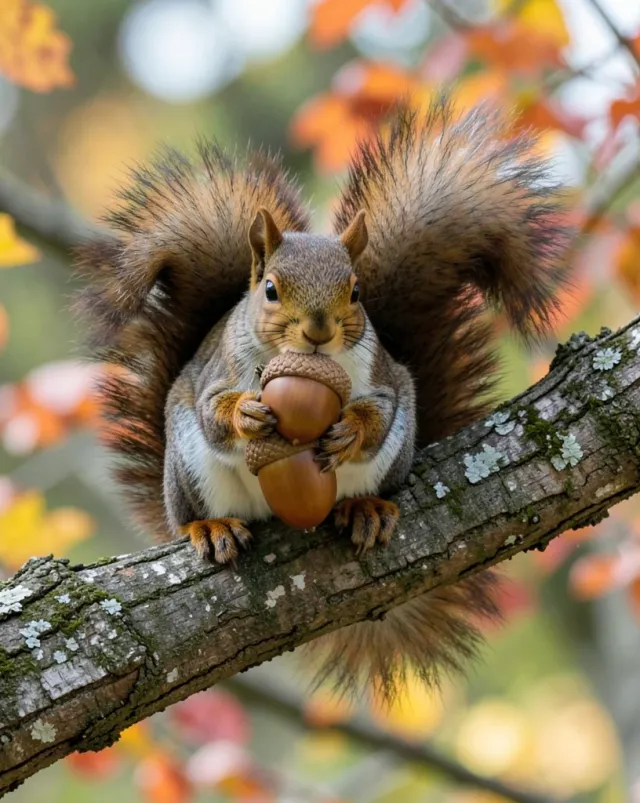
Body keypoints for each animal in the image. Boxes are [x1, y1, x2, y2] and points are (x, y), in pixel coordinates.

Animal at [76, 97, 570, 700]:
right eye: (270, 290)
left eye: (356, 292)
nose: (318, 330)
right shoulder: (215, 375)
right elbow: (216, 410)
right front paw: (246, 414)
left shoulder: (384, 379)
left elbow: (377, 412)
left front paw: (349, 429)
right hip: (190, 468)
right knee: (191, 509)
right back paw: (210, 528)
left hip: (389, 460)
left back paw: (364, 509)